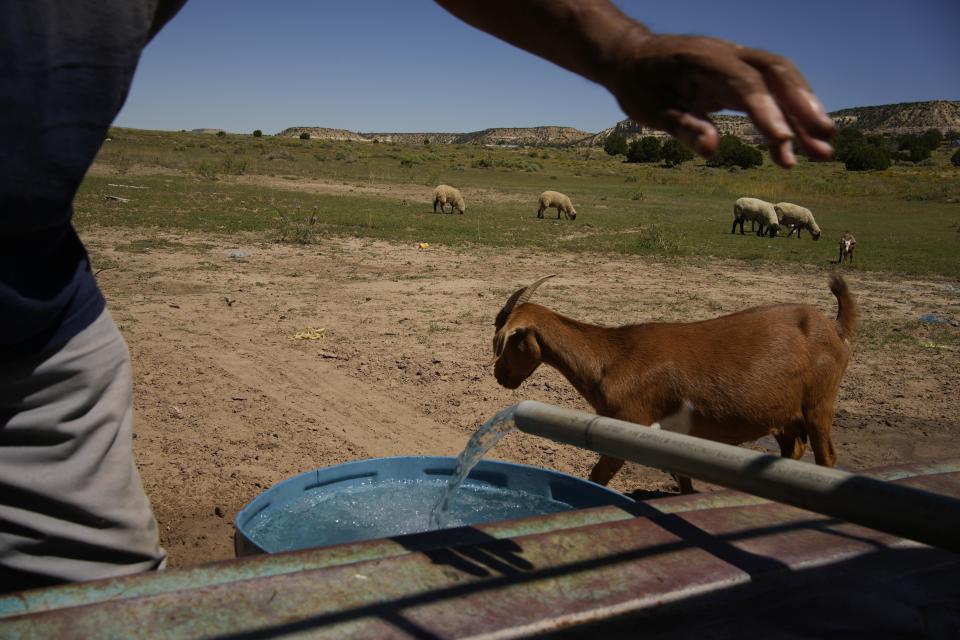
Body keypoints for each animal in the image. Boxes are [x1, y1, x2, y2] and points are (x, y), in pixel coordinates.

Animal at [492, 272, 860, 492]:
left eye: (510, 340)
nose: (500, 376)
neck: (610, 358)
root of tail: (835, 328)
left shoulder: (629, 424)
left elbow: (598, 476)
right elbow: (683, 478)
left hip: (819, 404)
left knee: (826, 457)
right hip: (784, 415)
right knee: (791, 451)